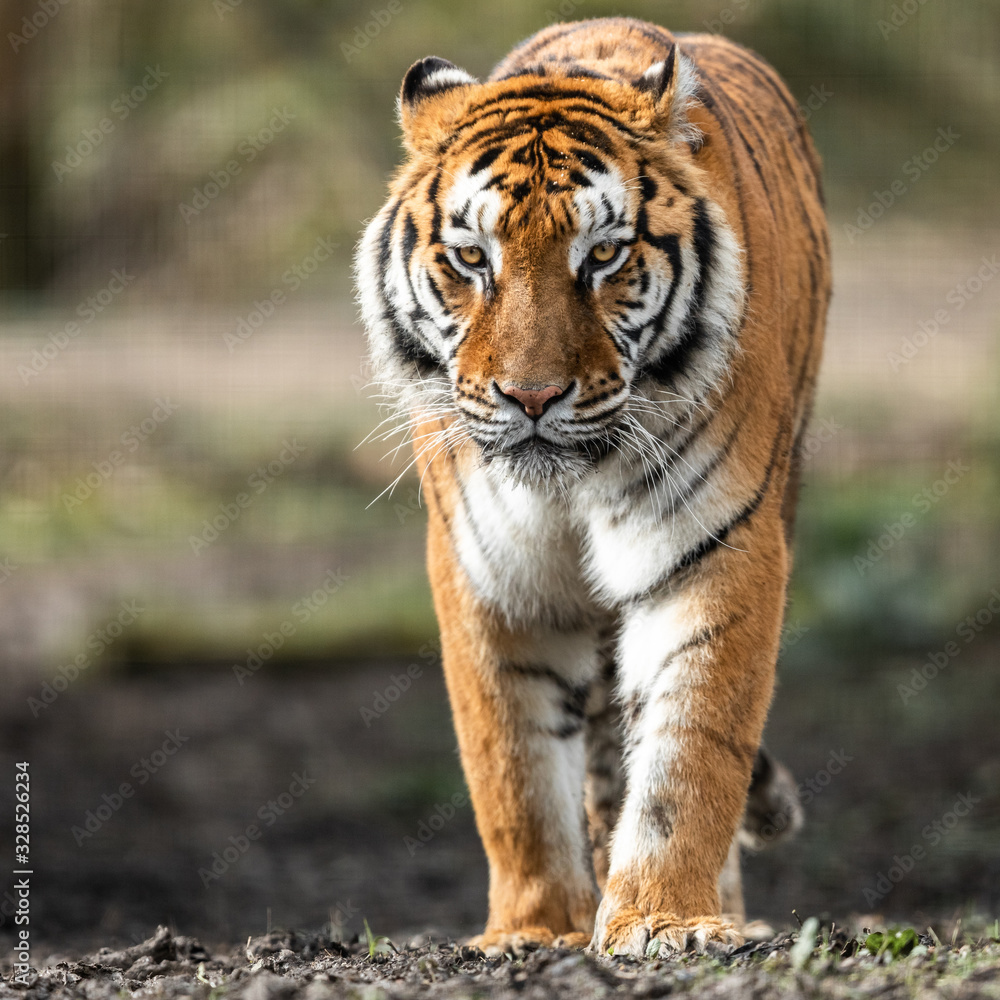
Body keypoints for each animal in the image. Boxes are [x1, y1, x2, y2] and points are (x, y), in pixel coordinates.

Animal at [355, 16, 829, 957]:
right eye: (473, 258)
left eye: (603, 255)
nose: (531, 396)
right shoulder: (490, 579)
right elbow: (512, 771)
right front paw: (534, 930)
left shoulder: (715, 550)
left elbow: (690, 752)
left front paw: (662, 918)